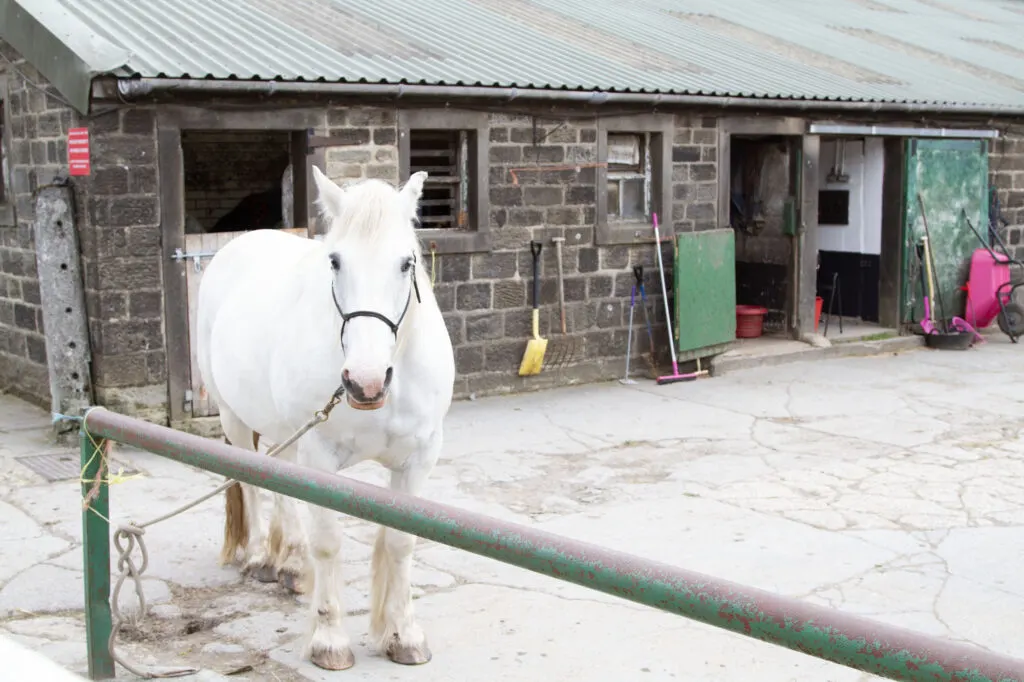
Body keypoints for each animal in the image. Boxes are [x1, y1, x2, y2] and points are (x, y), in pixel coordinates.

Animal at [195, 166, 455, 670]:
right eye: (334, 261)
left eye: (407, 263)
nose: (366, 382)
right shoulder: (320, 458)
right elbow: (329, 542)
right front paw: (329, 640)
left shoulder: (419, 458)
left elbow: (401, 542)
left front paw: (404, 635)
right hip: (236, 418)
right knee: (253, 483)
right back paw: (259, 557)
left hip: (288, 433)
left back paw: (291, 565)